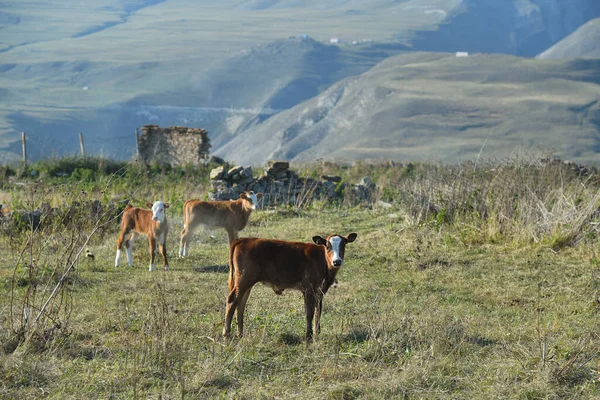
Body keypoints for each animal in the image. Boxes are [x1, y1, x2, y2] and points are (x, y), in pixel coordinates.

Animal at [224, 231, 356, 340]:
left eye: (343, 245)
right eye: (327, 247)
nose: (337, 261)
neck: (322, 260)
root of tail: (243, 240)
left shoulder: (320, 291)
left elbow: (318, 311)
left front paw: (317, 333)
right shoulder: (308, 289)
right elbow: (309, 313)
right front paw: (308, 335)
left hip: (247, 284)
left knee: (240, 305)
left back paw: (240, 335)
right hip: (244, 280)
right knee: (232, 300)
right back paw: (227, 336)